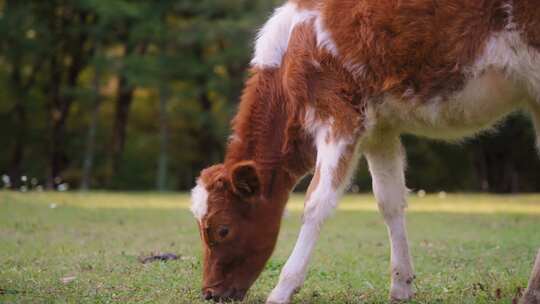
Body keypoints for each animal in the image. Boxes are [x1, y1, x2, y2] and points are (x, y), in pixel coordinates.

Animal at [190, 0, 540, 302]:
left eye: (222, 229)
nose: (209, 293)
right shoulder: (380, 129)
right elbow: (389, 201)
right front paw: (401, 285)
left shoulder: (339, 116)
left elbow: (316, 203)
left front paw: (282, 290)